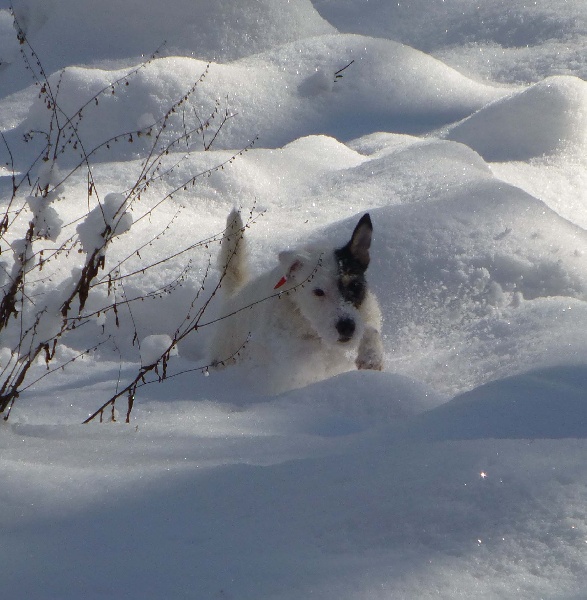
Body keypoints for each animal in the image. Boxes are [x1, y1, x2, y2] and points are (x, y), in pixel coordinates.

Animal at [208, 211, 386, 394]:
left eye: (355, 286)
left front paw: (371, 357)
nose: (347, 327)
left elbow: (370, 328)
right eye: (318, 291)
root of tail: (235, 295)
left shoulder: (367, 310)